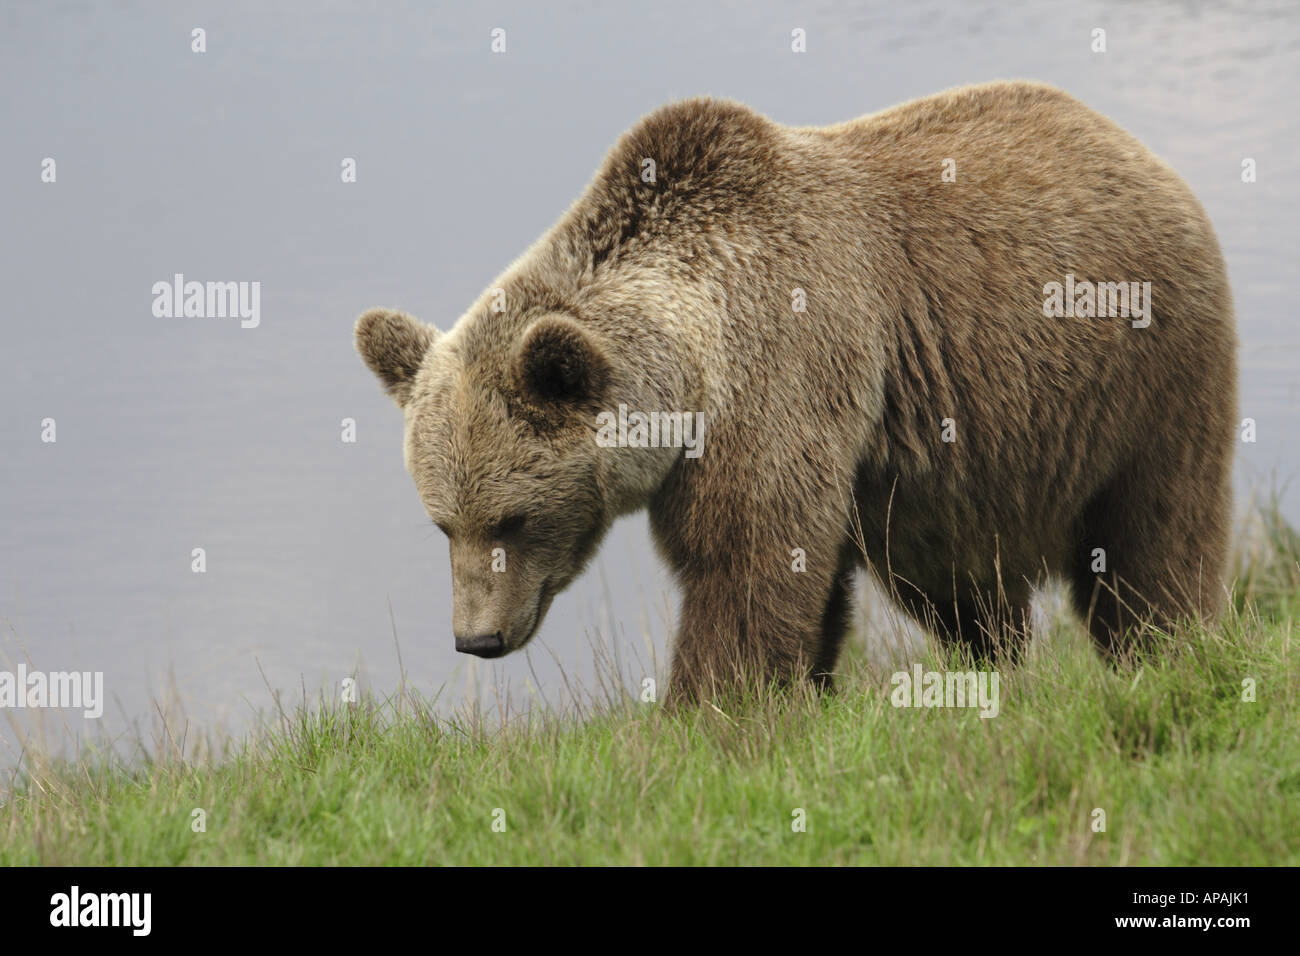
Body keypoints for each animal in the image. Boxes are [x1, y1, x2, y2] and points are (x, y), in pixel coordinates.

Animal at [355, 80, 1237, 702]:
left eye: (513, 517)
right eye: (443, 523)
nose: (477, 640)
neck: (693, 367)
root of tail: (1125, 140)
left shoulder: (781, 376)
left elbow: (746, 560)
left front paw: (710, 709)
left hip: (1140, 376)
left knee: (1154, 535)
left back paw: (1164, 647)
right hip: (964, 462)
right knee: (959, 582)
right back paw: (992, 664)